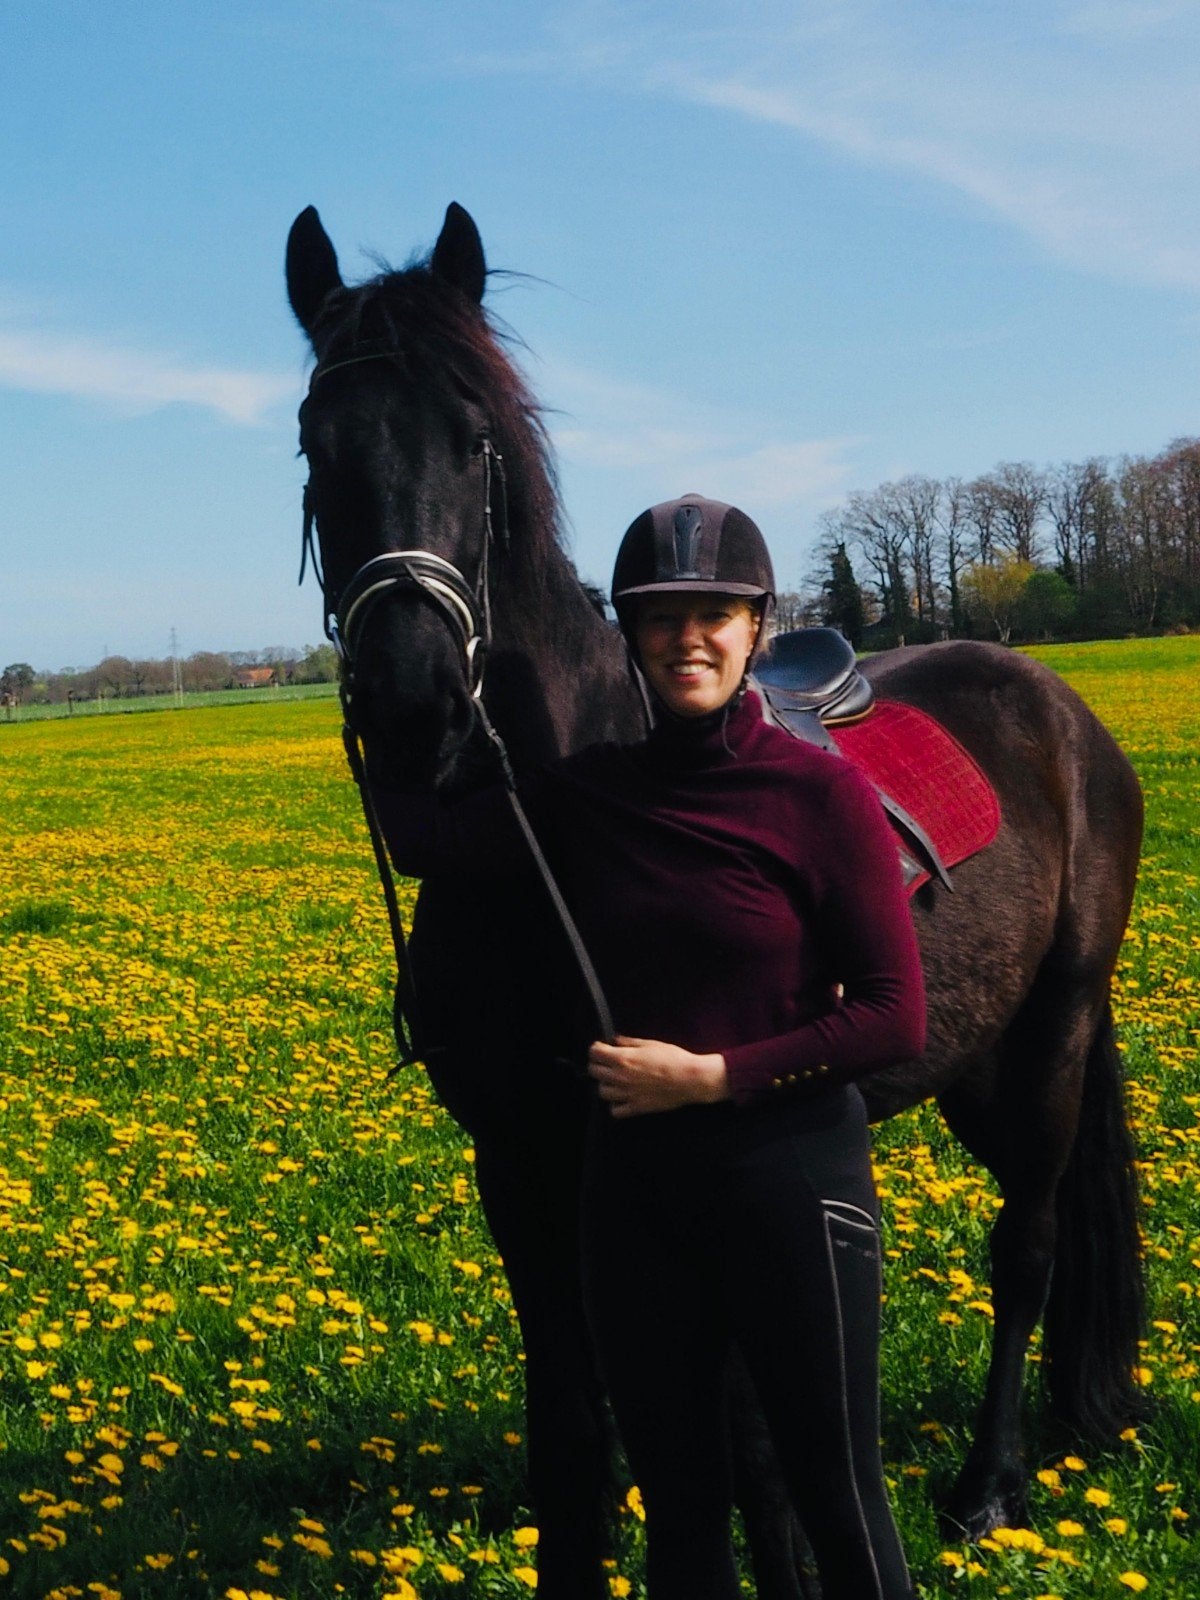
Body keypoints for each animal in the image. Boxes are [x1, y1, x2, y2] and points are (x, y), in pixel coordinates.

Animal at [285, 200, 1146, 1593]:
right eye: (318, 443)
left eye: (476, 442)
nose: (417, 708)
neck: (536, 842)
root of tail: (1059, 710)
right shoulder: (517, 1163)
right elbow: (571, 1420)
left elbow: (746, 1442)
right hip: (976, 1057)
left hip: (1055, 1031)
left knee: (1026, 1247)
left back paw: (989, 1484)